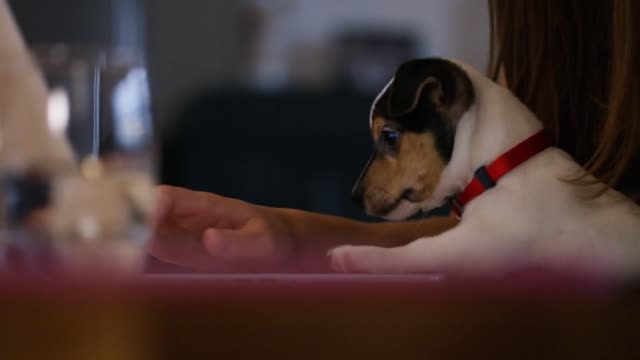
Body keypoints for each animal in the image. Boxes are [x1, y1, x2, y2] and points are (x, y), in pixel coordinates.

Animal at [330, 58, 640, 278]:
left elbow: (417, 249)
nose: (354, 197)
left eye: (390, 136)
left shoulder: (483, 242)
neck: (499, 168)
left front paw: (354, 255)